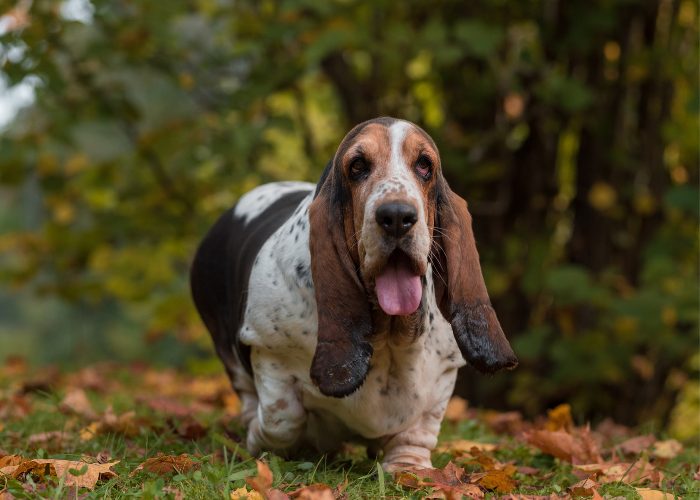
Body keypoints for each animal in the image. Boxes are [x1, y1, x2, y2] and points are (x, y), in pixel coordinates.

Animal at [189, 116, 516, 468]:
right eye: (357, 166)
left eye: (424, 165)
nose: (397, 216)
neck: (387, 335)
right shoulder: (268, 350)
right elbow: (283, 418)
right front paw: (259, 439)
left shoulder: (443, 373)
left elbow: (419, 428)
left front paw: (408, 466)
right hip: (226, 346)